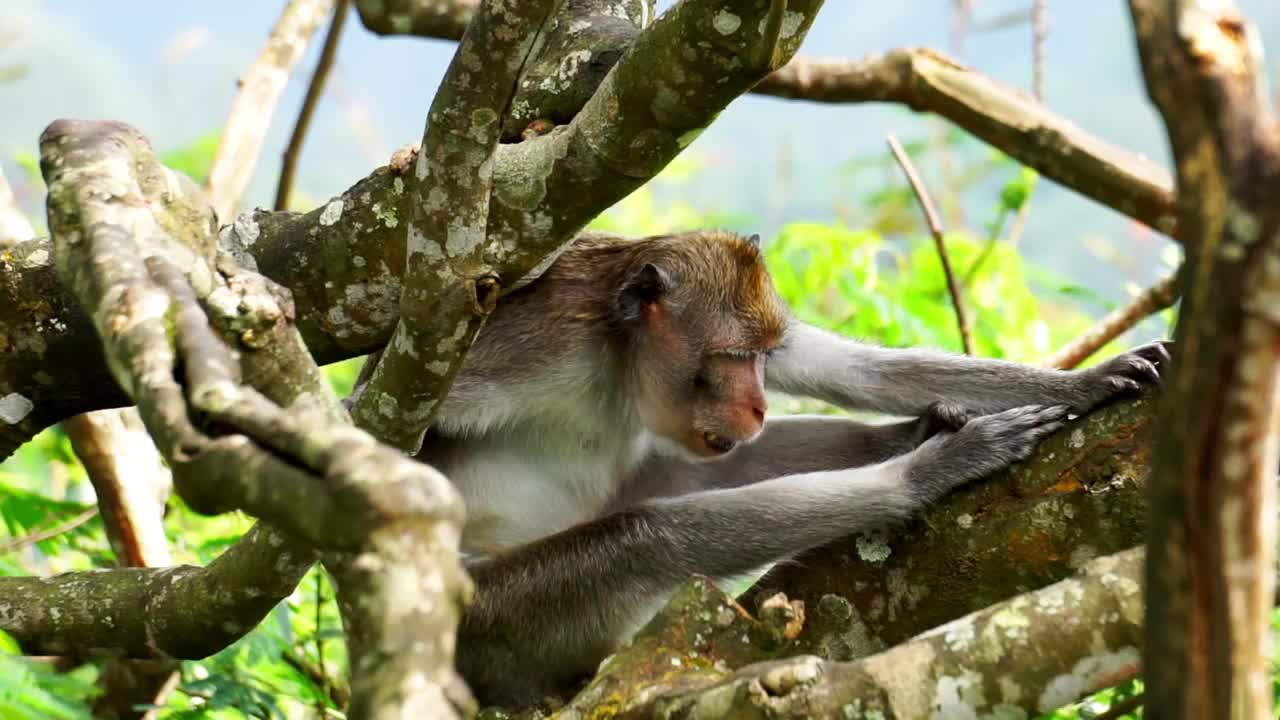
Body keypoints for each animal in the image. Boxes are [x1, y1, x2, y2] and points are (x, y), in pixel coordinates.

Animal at [350, 228, 1172, 702]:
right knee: (650, 536)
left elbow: (859, 371)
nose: (756, 404)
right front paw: (939, 465)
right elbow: (370, 421)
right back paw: (919, 467)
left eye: (765, 356)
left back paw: (905, 436)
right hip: (500, 620)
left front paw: (1086, 381)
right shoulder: (516, 344)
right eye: (731, 358)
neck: (615, 361)